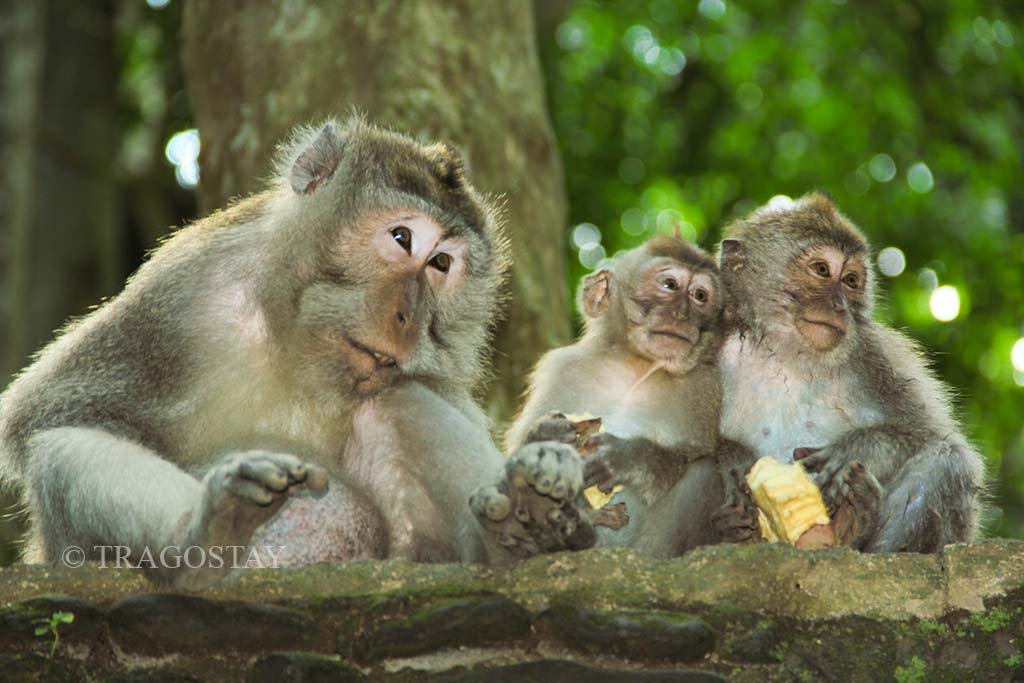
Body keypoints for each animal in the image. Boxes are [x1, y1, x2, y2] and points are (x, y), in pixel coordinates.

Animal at [0, 116, 588, 589]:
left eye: (441, 265)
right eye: (401, 238)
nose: (408, 318)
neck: (300, 346)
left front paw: (551, 452)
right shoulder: (180, 295)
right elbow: (50, 416)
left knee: (400, 399)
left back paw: (513, 532)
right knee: (62, 449)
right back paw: (204, 538)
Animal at [495, 235, 726, 557]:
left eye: (700, 296)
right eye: (669, 285)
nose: (682, 314)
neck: (635, 366)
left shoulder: (706, 386)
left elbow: (701, 455)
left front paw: (627, 458)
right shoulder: (562, 368)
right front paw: (544, 435)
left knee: (705, 472)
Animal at [711, 192, 984, 552]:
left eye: (851, 281)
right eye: (821, 270)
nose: (840, 306)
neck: (786, 355)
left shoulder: (872, 357)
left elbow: (927, 433)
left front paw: (854, 449)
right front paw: (732, 461)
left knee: (949, 459)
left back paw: (860, 524)